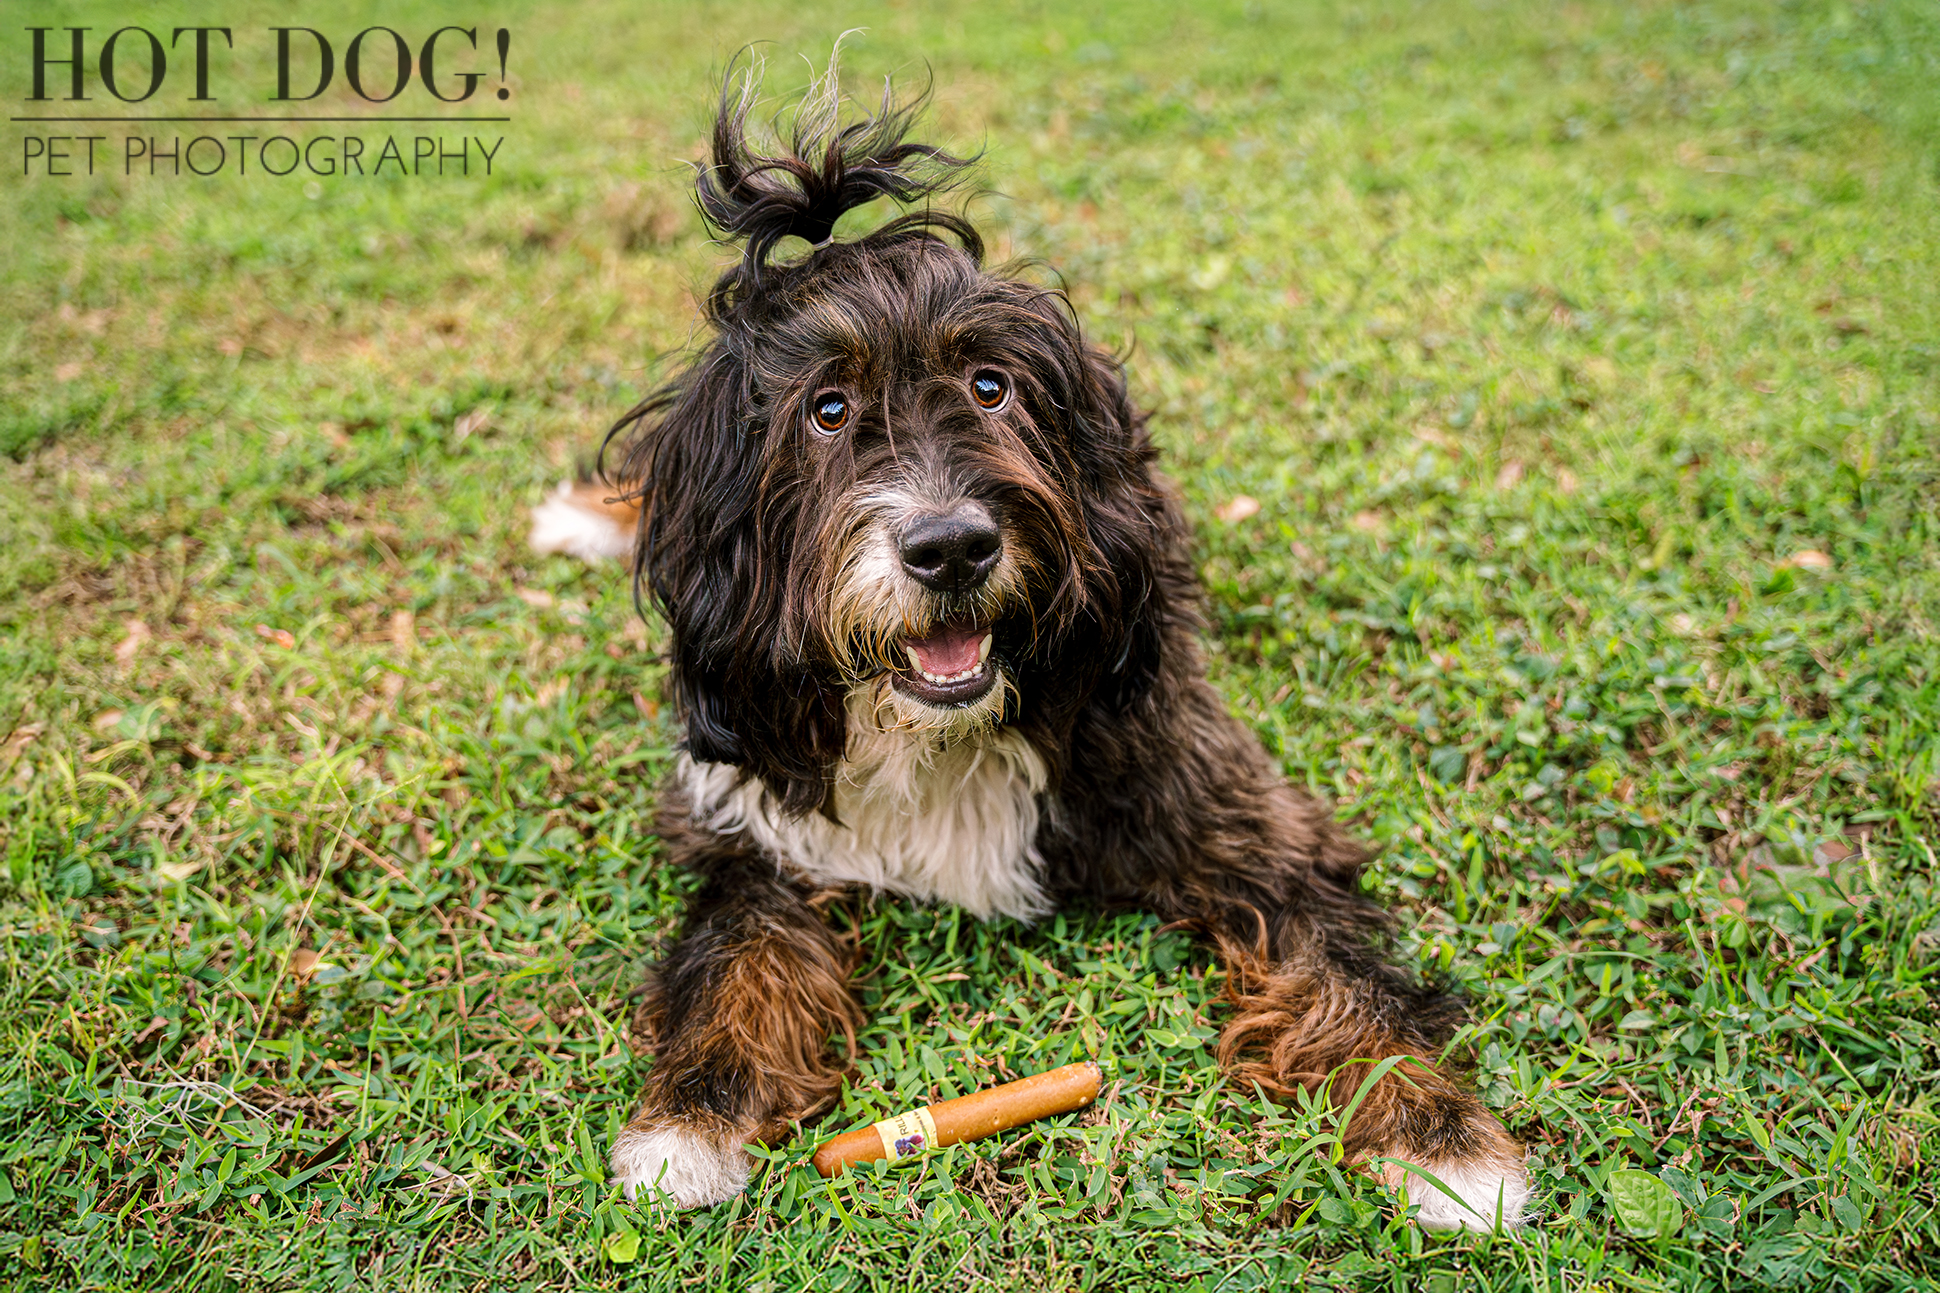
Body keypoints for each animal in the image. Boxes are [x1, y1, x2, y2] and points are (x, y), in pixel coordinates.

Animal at [535, 63, 1528, 1226]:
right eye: (826, 409)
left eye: (990, 386)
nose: (951, 549)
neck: (934, 730)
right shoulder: (752, 823)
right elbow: (738, 956)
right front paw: (690, 1118)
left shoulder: (1221, 799)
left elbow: (1336, 962)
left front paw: (1437, 1134)